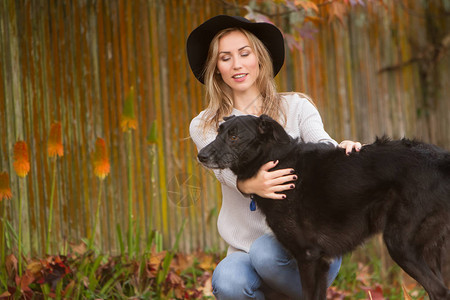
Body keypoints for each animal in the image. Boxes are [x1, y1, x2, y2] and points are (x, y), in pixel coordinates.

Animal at [199, 115, 450, 300]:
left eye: (234, 136)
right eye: (219, 132)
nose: (200, 155)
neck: (278, 161)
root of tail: (441, 161)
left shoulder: (308, 256)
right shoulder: (320, 262)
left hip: (400, 243)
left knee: (439, 290)